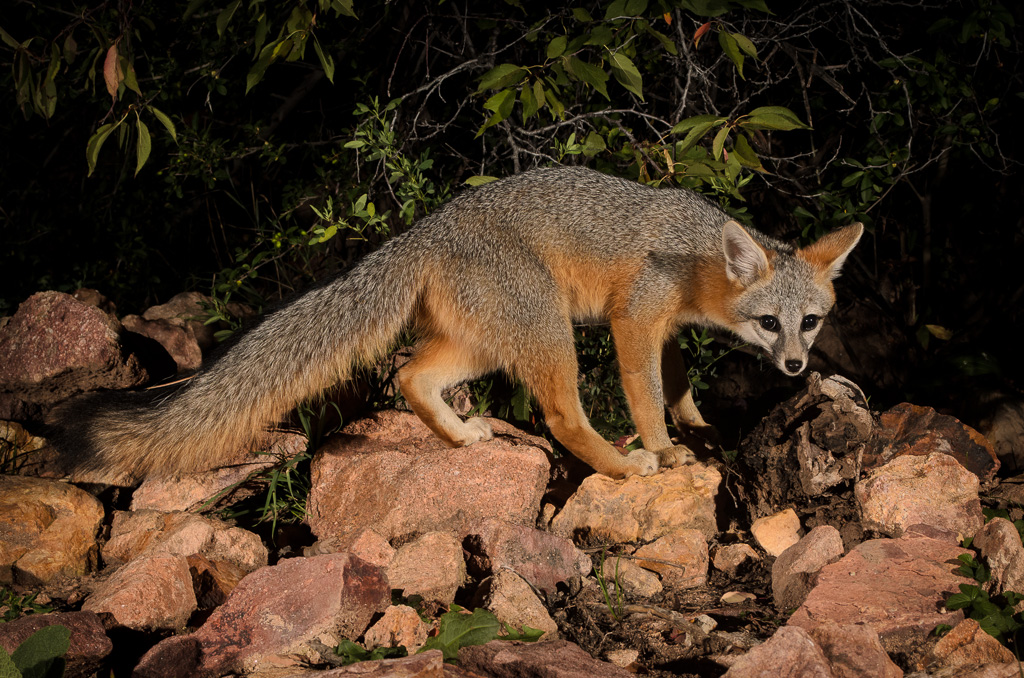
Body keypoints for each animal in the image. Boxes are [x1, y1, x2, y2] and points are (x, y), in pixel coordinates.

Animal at [50, 166, 862, 483]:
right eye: (769, 324)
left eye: (810, 323)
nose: (796, 368)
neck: (695, 256)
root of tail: (423, 231)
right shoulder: (634, 324)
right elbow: (644, 396)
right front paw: (665, 448)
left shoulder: (664, 332)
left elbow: (678, 384)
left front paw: (697, 425)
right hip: (548, 333)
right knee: (562, 415)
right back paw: (618, 465)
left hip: (481, 344)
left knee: (413, 375)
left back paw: (462, 437)